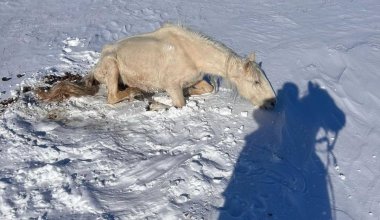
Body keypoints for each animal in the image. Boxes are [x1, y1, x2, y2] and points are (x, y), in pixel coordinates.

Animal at [37, 23, 276, 109]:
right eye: (255, 81)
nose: (273, 102)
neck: (191, 53)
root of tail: (97, 65)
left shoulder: (197, 78)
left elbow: (208, 88)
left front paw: (192, 90)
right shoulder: (171, 86)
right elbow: (179, 104)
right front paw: (157, 104)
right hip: (112, 68)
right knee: (112, 97)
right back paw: (135, 92)